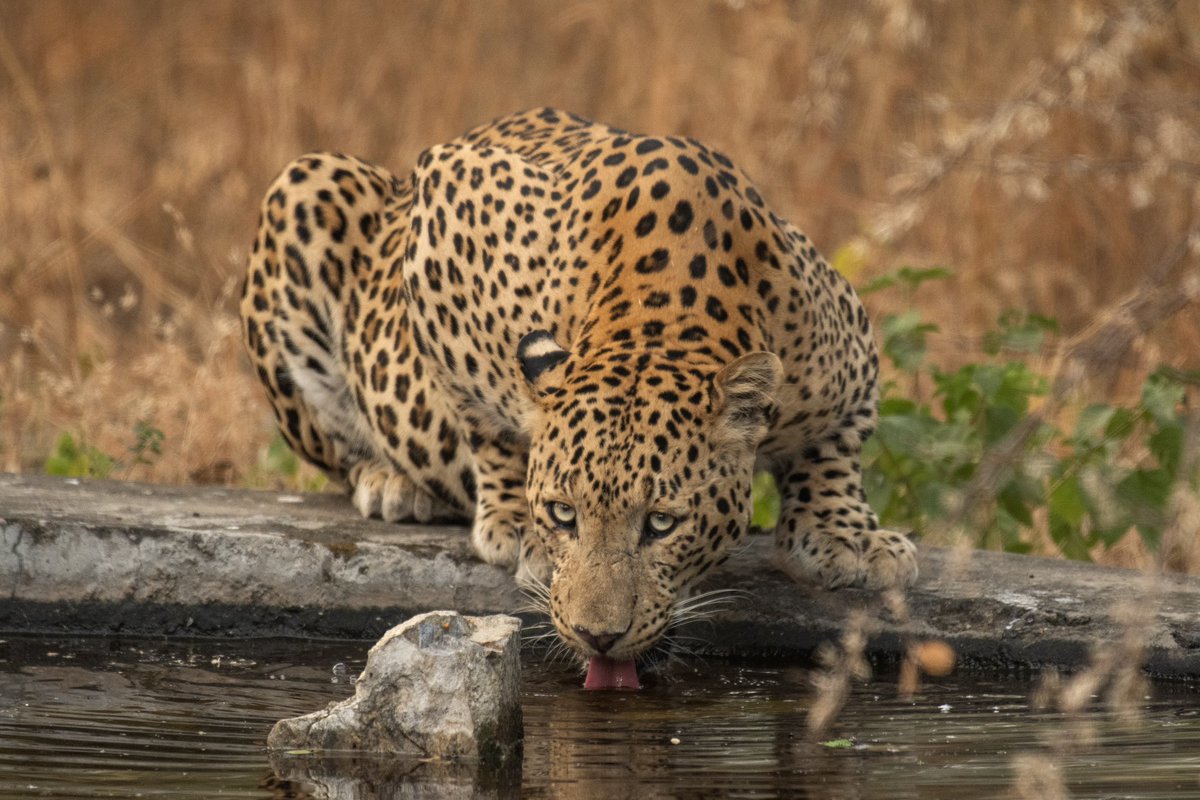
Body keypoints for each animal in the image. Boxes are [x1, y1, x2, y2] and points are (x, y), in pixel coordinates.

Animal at [241, 106, 916, 681]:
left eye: (662, 524)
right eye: (564, 514)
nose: (599, 638)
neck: (663, 307)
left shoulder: (851, 344)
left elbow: (836, 444)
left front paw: (846, 534)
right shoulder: (444, 216)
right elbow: (485, 423)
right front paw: (518, 525)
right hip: (303, 185)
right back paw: (392, 483)